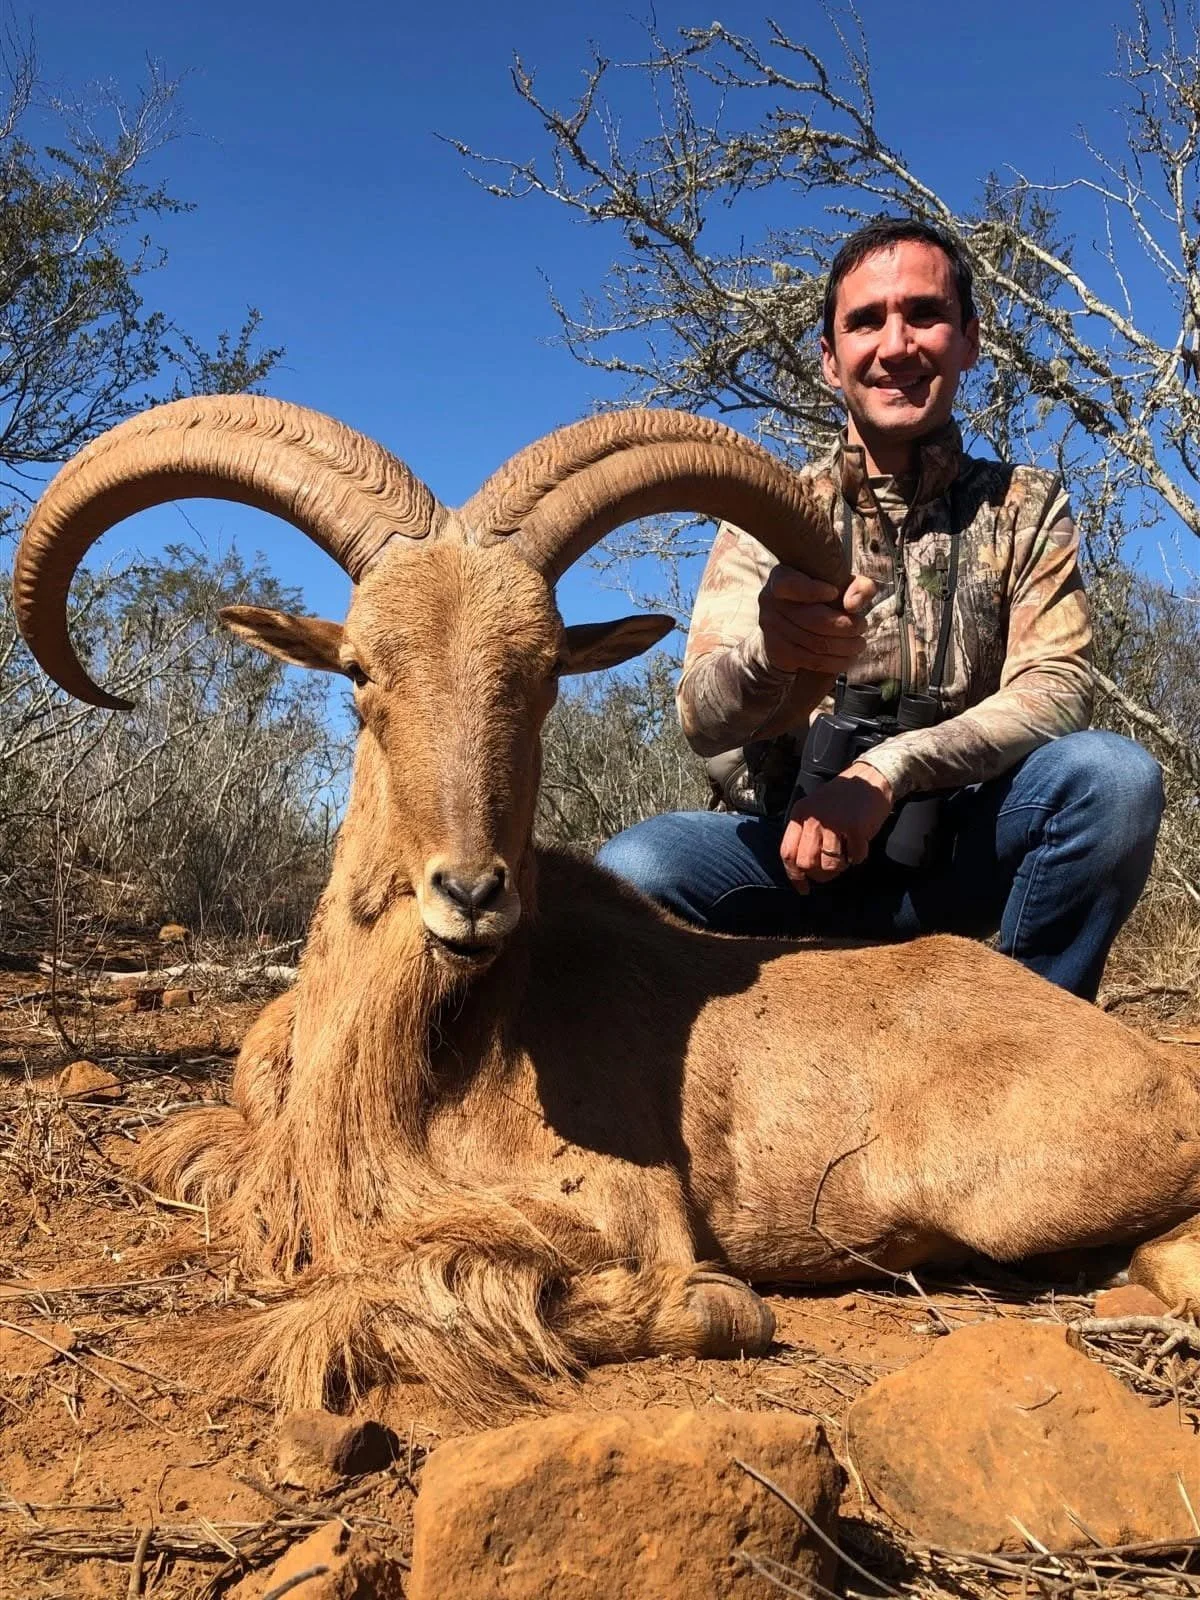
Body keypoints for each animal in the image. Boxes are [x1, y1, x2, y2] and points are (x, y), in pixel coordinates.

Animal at [14, 394, 1200, 1418]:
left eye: (544, 671)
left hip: (1018, 1192)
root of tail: (1153, 1060)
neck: (421, 1049)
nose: (471, 893)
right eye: (359, 670)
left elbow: (698, 1303)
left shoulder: (622, 1209)